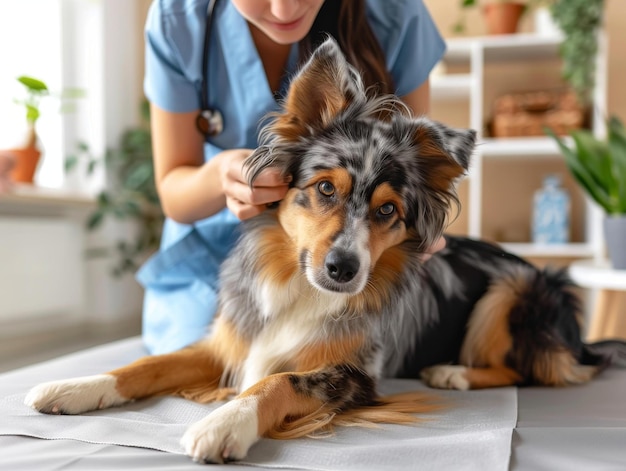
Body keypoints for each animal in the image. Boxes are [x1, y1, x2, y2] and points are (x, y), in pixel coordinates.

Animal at [22, 37, 620, 464]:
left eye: (387, 212)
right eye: (325, 188)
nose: (342, 269)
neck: (299, 290)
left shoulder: (354, 375)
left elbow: (277, 381)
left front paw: (224, 423)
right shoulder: (229, 341)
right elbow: (148, 363)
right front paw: (78, 385)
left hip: (516, 289)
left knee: (543, 369)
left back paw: (454, 373)